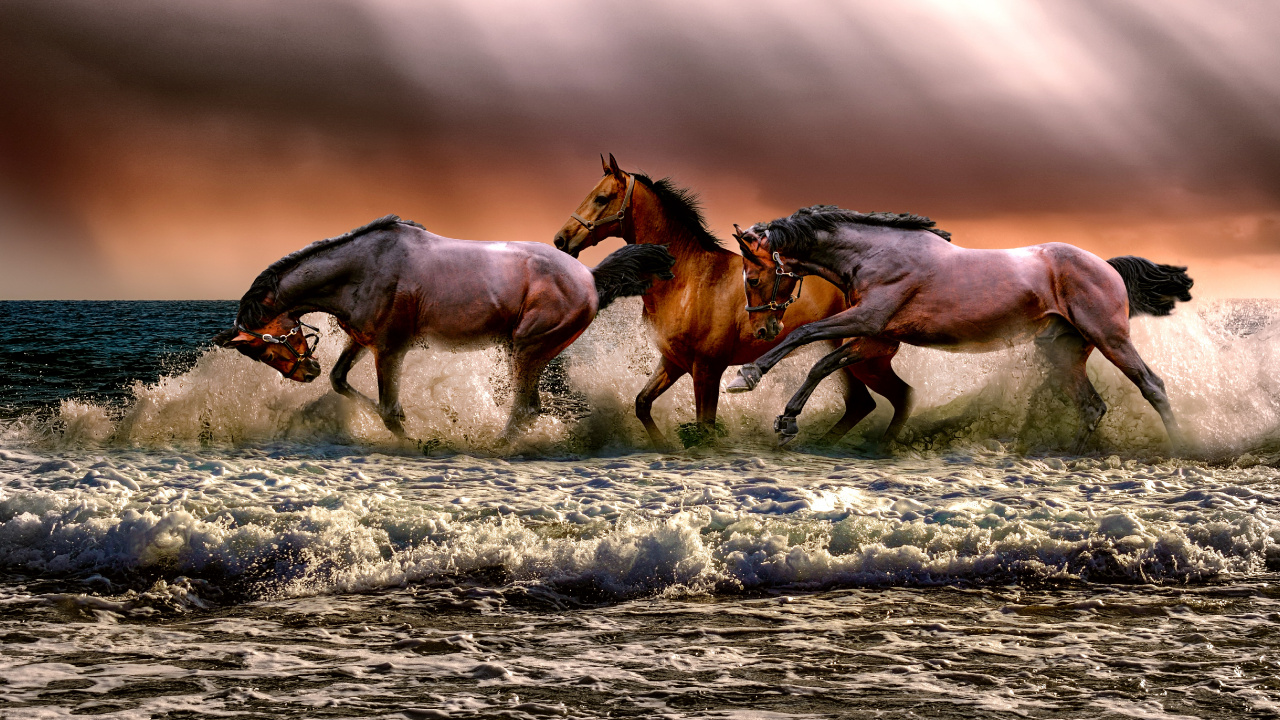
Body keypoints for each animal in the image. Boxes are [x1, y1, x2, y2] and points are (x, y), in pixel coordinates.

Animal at [214, 215, 675, 441]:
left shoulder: (391, 348)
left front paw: (414, 441)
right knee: (529, 409)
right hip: (528, 353)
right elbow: (341, 381)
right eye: (258, 353)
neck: (362, 269)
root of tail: (590, 278)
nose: (304, 372)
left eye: (267, 344)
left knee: (524, 409)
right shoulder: (361, 340)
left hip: (527, 348)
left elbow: (389, 410)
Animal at [553, 154, 914, 448]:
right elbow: (642, 404)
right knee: (862, 404)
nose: (561, 240)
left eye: (601, 198)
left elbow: (705, 428)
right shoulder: (673, 362)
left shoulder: (707, 369)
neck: (689, 280)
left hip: (865, 360)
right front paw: (664, 447)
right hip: (845, 359)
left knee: (898, 397)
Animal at [727, 205, 1194, 451]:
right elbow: (822, 364)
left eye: (753, 278)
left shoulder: (868, 320)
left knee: (1152, 385)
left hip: (1109, 338)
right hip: (1063, 352)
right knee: (1092, 406)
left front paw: (746, 377)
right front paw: (787, 419)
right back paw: (1069, 456)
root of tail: (1106, 266)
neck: (875, 254)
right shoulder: (877, 337)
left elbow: (804, 336)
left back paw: (1182, 445)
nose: (763, 327)